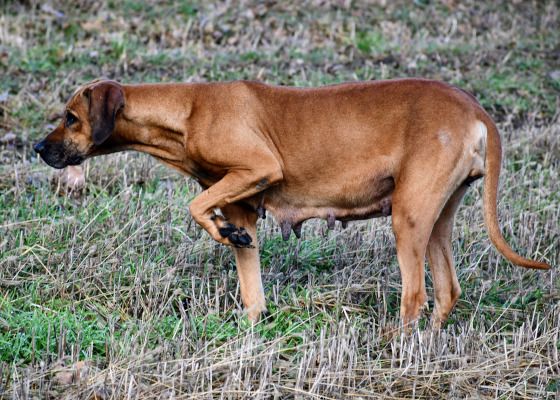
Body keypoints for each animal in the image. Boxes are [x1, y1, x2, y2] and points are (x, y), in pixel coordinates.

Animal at [35, 79, 552, 328]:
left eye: (70, 117)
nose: (39, 148)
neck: (186, 112)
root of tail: (475, 108)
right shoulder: (242, 204)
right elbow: (248, 277)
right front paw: (250, 324)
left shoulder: (258, 168)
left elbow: (196, 206)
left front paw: (218, 231)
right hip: (436, 219)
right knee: (447, 292)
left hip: (407, 219)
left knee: (416, 296)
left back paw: (393, 346)